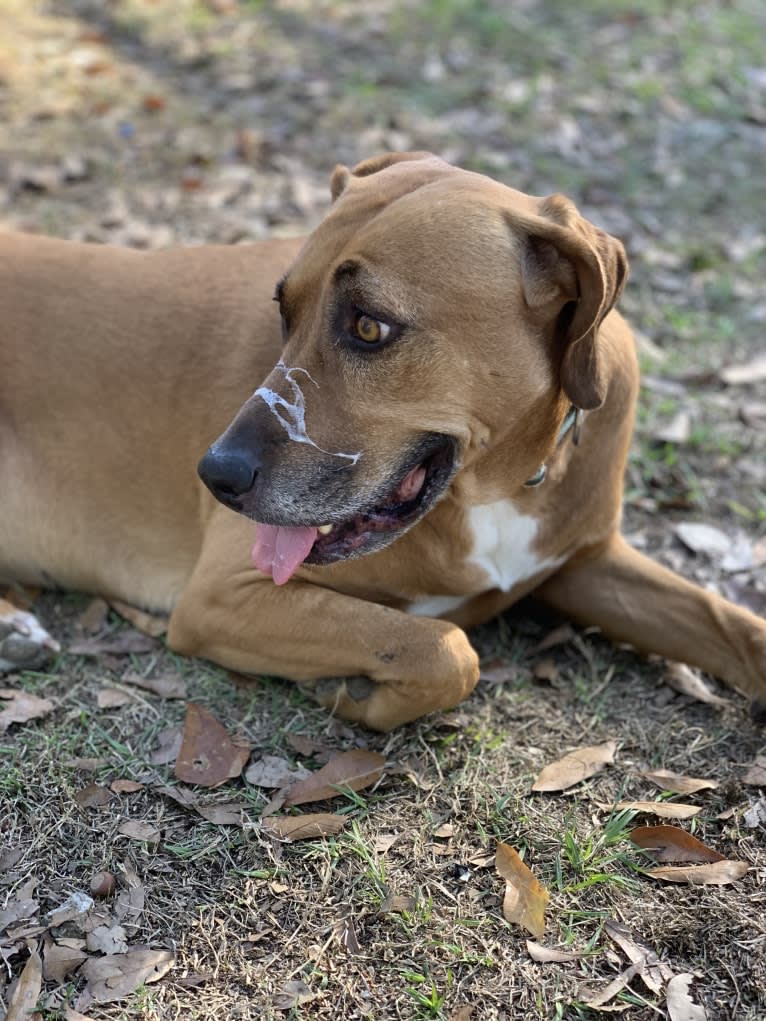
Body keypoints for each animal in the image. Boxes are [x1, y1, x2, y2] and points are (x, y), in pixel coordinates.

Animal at [0, 151, 763, 731]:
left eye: (370, 326)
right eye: (284, 310)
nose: (215, 476)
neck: (503, 482)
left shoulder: (587, 562)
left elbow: (732, 623)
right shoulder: (223, 594)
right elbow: (447, 647)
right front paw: (356, 692)